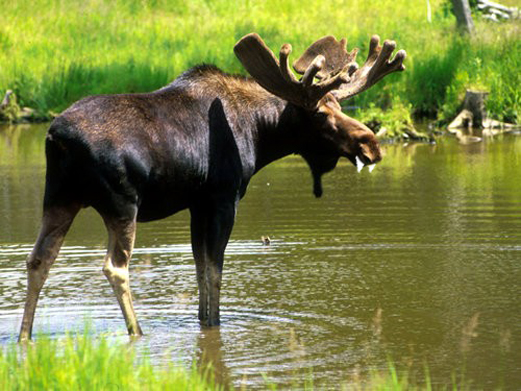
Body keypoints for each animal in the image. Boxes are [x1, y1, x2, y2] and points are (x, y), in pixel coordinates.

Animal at [17, 33, 406, 340]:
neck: (261, 133)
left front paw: (203, 321)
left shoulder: (197, 203)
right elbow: (215, 269)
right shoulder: (224, 196)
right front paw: (214, 323)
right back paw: (136, 330)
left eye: (340, 104)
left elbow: (200, 265)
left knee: (38, 260)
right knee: (115, 267)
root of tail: (57, 138)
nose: (371, 145)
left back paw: (24, 337)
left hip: (59, 198)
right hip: (121, 202)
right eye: (322, 114)